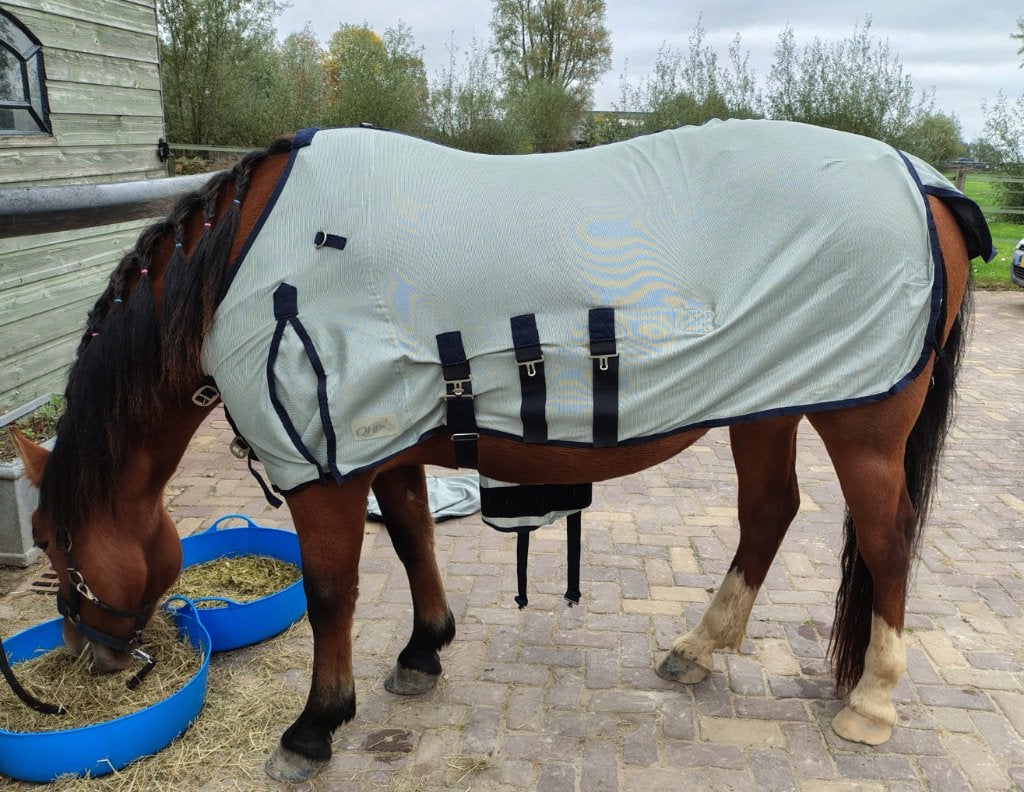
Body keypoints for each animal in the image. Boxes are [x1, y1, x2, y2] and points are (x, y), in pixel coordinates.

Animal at [11, 119, 992, 782]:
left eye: (56, 543)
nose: (92, 658)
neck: (241, 264)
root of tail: (924, 184)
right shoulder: (387, 446)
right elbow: (414, 541)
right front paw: (423, 652)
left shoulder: (328, 473)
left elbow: (332, 593)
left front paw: (315, 726)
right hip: (769, 404)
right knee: (768, 513)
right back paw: (699, 647)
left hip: (863, 427)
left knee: (886, 539)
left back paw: (872, 702)